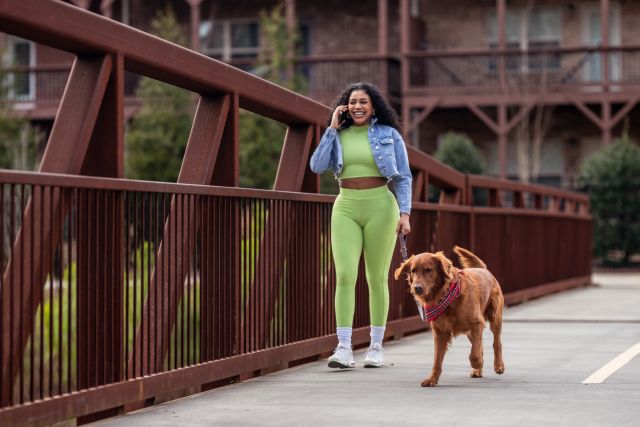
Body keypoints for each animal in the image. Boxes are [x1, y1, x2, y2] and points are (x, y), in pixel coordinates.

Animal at [396, 244, 504, 388]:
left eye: (428, 270)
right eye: (413, 270)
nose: (417, 288)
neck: (446, 295)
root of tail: (484, 270)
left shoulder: (477, 323)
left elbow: (474, 355)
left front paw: (478, 363)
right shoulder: (441, 332)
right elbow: (437, 359)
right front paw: (432, 379)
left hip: (495, 318)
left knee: (496, 343)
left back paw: (498, 366)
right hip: (470, 332)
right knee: (479, 345)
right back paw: (477, 371)